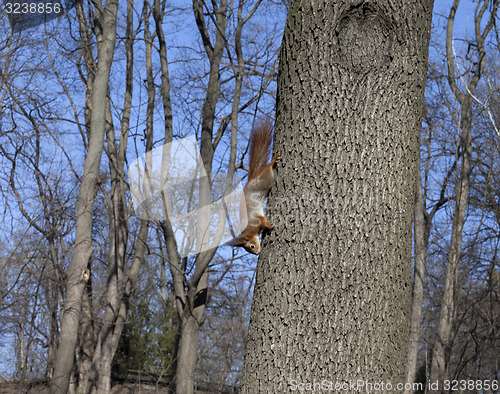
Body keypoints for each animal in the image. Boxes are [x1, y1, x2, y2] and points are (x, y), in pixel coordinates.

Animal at [228, 118, 280, 255]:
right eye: (249, 250)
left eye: (251, 246)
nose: (256, 253)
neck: (250, 229)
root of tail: (252, 180)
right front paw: (264, 230)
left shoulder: (256, 219)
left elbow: (263, 221)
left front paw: (268, 226)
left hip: (266, 179)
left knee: (268, 169)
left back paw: (273, 161)